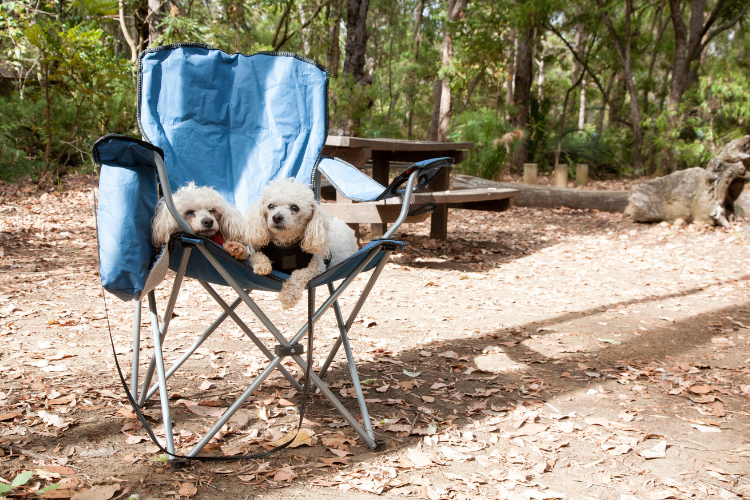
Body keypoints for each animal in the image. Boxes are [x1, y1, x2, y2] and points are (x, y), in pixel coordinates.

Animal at [245, 176, 360, 308]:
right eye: (271, 206)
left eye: (294, 207)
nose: (277, 217)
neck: (285, 246)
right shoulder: (257, 252)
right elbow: (256, 256)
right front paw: (262, 266)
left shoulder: (317, 267)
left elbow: (299, 275)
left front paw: (288, 296)